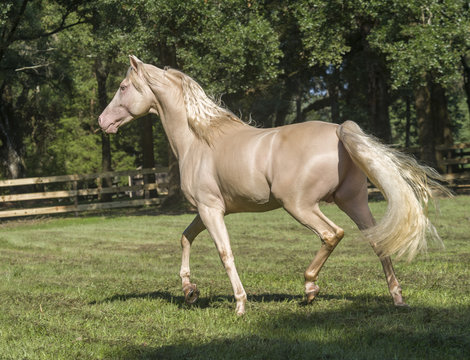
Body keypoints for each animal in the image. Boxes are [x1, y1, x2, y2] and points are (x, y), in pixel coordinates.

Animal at [97, 54, 446, 314]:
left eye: (123, 86)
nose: (103, 121)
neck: (198, 140)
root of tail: (338, 131)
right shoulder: (206, 210)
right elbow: (185, 238)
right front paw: (189, 291)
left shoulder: (211, 210)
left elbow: (224, 252)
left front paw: (239, 304)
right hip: (353, 201)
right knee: (378, 243)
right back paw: (397, 297)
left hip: (300, 205)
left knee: (332, 234)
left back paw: (309, 287)